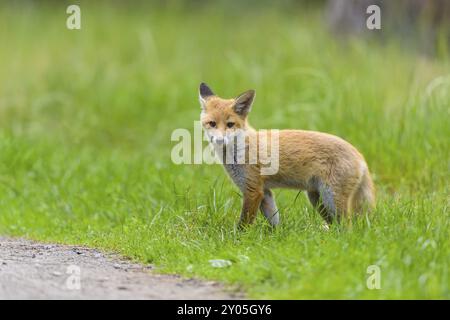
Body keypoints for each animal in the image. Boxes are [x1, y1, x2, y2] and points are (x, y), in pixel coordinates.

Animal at [199, 83, 374, 228]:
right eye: (212, 123)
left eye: (230, 124)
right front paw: (274, 238)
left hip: (331, 197)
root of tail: (360, 155)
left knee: (347, 227)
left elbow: (244, 223)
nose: (219, 140)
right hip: (316, 198)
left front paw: (239, 239)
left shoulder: (253, 190)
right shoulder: (265, 191)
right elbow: (274, 220)